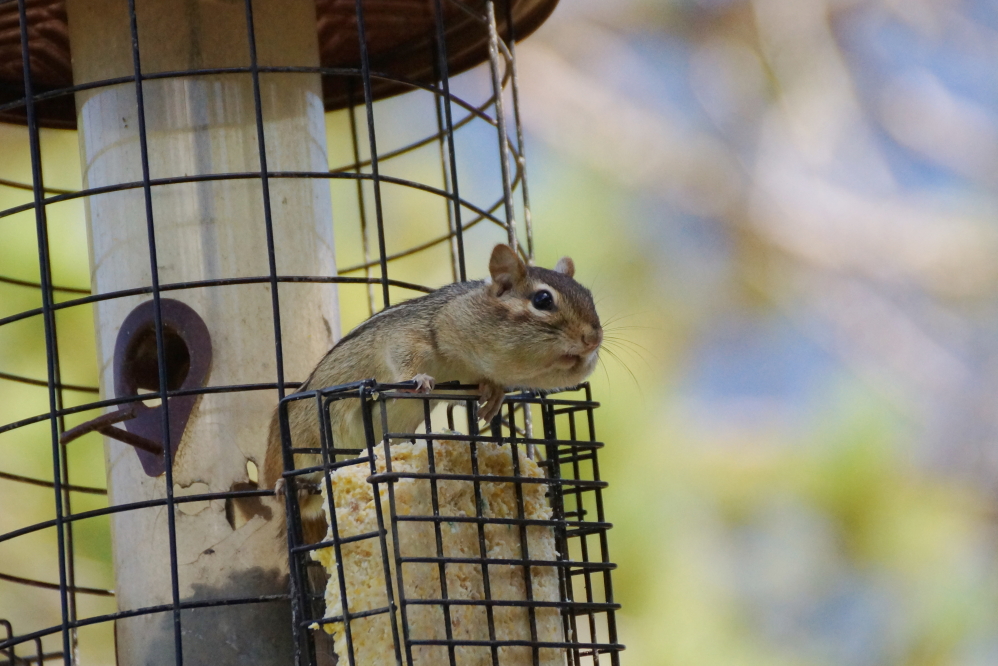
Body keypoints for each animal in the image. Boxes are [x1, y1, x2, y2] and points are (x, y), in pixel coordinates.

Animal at [262, 243, 603, 543]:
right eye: (543, 300)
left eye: (589, 296)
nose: (594, 339)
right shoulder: (409, 335)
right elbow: (403, 358)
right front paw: (421, 379)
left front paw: (495, 394)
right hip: (304, 440)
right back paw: (288, 485)